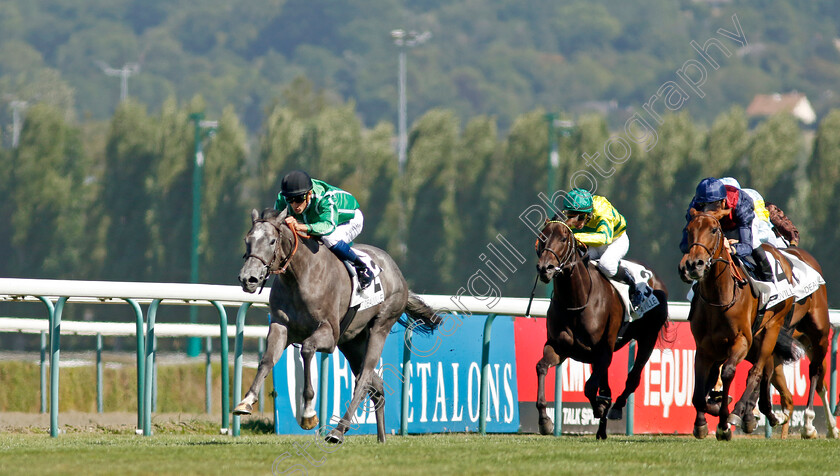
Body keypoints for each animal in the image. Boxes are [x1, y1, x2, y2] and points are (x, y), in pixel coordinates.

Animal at [233, 207, 436, 442]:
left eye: (272, 241)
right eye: (247, 240)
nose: (248, 279)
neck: (300, 276)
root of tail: (399, 274)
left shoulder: (329, 335)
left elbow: (307, 349)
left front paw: (308, 413)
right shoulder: (280, 326)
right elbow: (267, 360)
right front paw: (246, 401)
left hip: (381, 325)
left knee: (364, 378)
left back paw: (338, 430)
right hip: (352, 342)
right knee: (376, 386)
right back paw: (381, 438)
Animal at [536, 218, 668, 438]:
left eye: (563, 238)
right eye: (542, 237)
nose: (545, 268)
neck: (577, 300)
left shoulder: (604, 350)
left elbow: (590, 387)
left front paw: (600, 407)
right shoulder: (559, 347)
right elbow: (541, 367)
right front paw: (545, 420)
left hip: (648, 337)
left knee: (633, 378)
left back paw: (616, 407)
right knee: (606, 386)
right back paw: (602, 430)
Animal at [680, 210, 796, 440]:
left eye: (713, 230)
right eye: (689, 229)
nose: (694, 264)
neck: (719, 297)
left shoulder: (741, 340)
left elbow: (728, 373)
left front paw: (724, 422)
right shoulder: (705, 348)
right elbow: (699, 390)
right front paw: (702, 422)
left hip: (772, 327)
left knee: (757, 371)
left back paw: (740, 413)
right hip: (755, 340)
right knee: (767, 369)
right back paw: (765, 414)